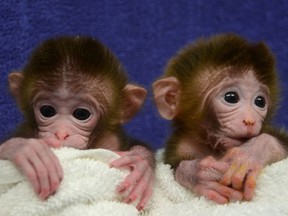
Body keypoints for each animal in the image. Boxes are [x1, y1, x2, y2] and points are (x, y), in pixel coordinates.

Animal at [153, 33, 288, 204]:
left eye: (260, 102)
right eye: (231, 97)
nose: (250, 121)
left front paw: (249, 155)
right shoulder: (182, 145)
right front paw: (199, 174)